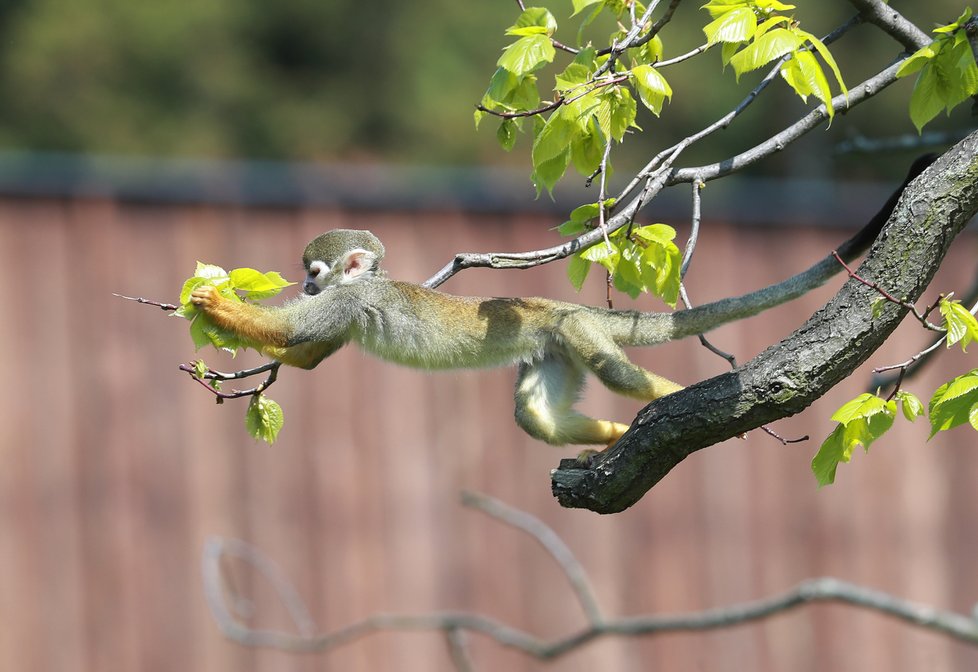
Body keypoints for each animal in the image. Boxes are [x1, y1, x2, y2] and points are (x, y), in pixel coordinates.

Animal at [189, 157, 932, 448]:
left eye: (315, 273)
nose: (311, 286)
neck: (358, 284)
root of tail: (560, 311)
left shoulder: (353, 301)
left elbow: (293, 336)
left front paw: (215, 303)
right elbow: (308, 358)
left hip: (577, 333)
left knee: (614, 371)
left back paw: (665, 396)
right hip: (551, 351)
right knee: (534, 414)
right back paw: (606, 434)